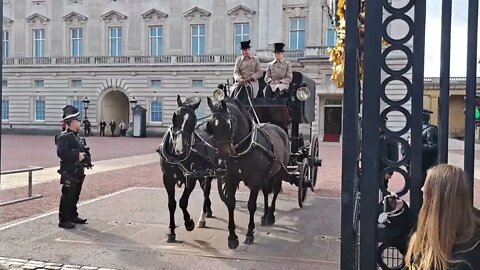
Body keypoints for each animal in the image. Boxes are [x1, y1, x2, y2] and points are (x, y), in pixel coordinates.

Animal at [158, 95, 218, 243]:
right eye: (174, 116)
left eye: (193, 120)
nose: (179, 149)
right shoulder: (167, 178)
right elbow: (172, 204)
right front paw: (171, 231)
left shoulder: (191, 178)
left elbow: (183, 202)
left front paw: (188, 222)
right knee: (205, 190)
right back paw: (208, 211)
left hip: (206, 173)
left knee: (206, 191)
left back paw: (202, 218)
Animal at [206, 97, 288, 249]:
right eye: (210, 126)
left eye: (229, 123)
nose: (223, 155)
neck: (244, 148)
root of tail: (280, 129)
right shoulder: (231, 178)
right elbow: (230, 203)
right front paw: (232, 237)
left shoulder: (255, 180)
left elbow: (251, 205)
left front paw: (249, 234)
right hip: (266, 175)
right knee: (266, 192)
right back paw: (264, 216)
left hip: (279, 171)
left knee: (275, 191)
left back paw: (270, 216)